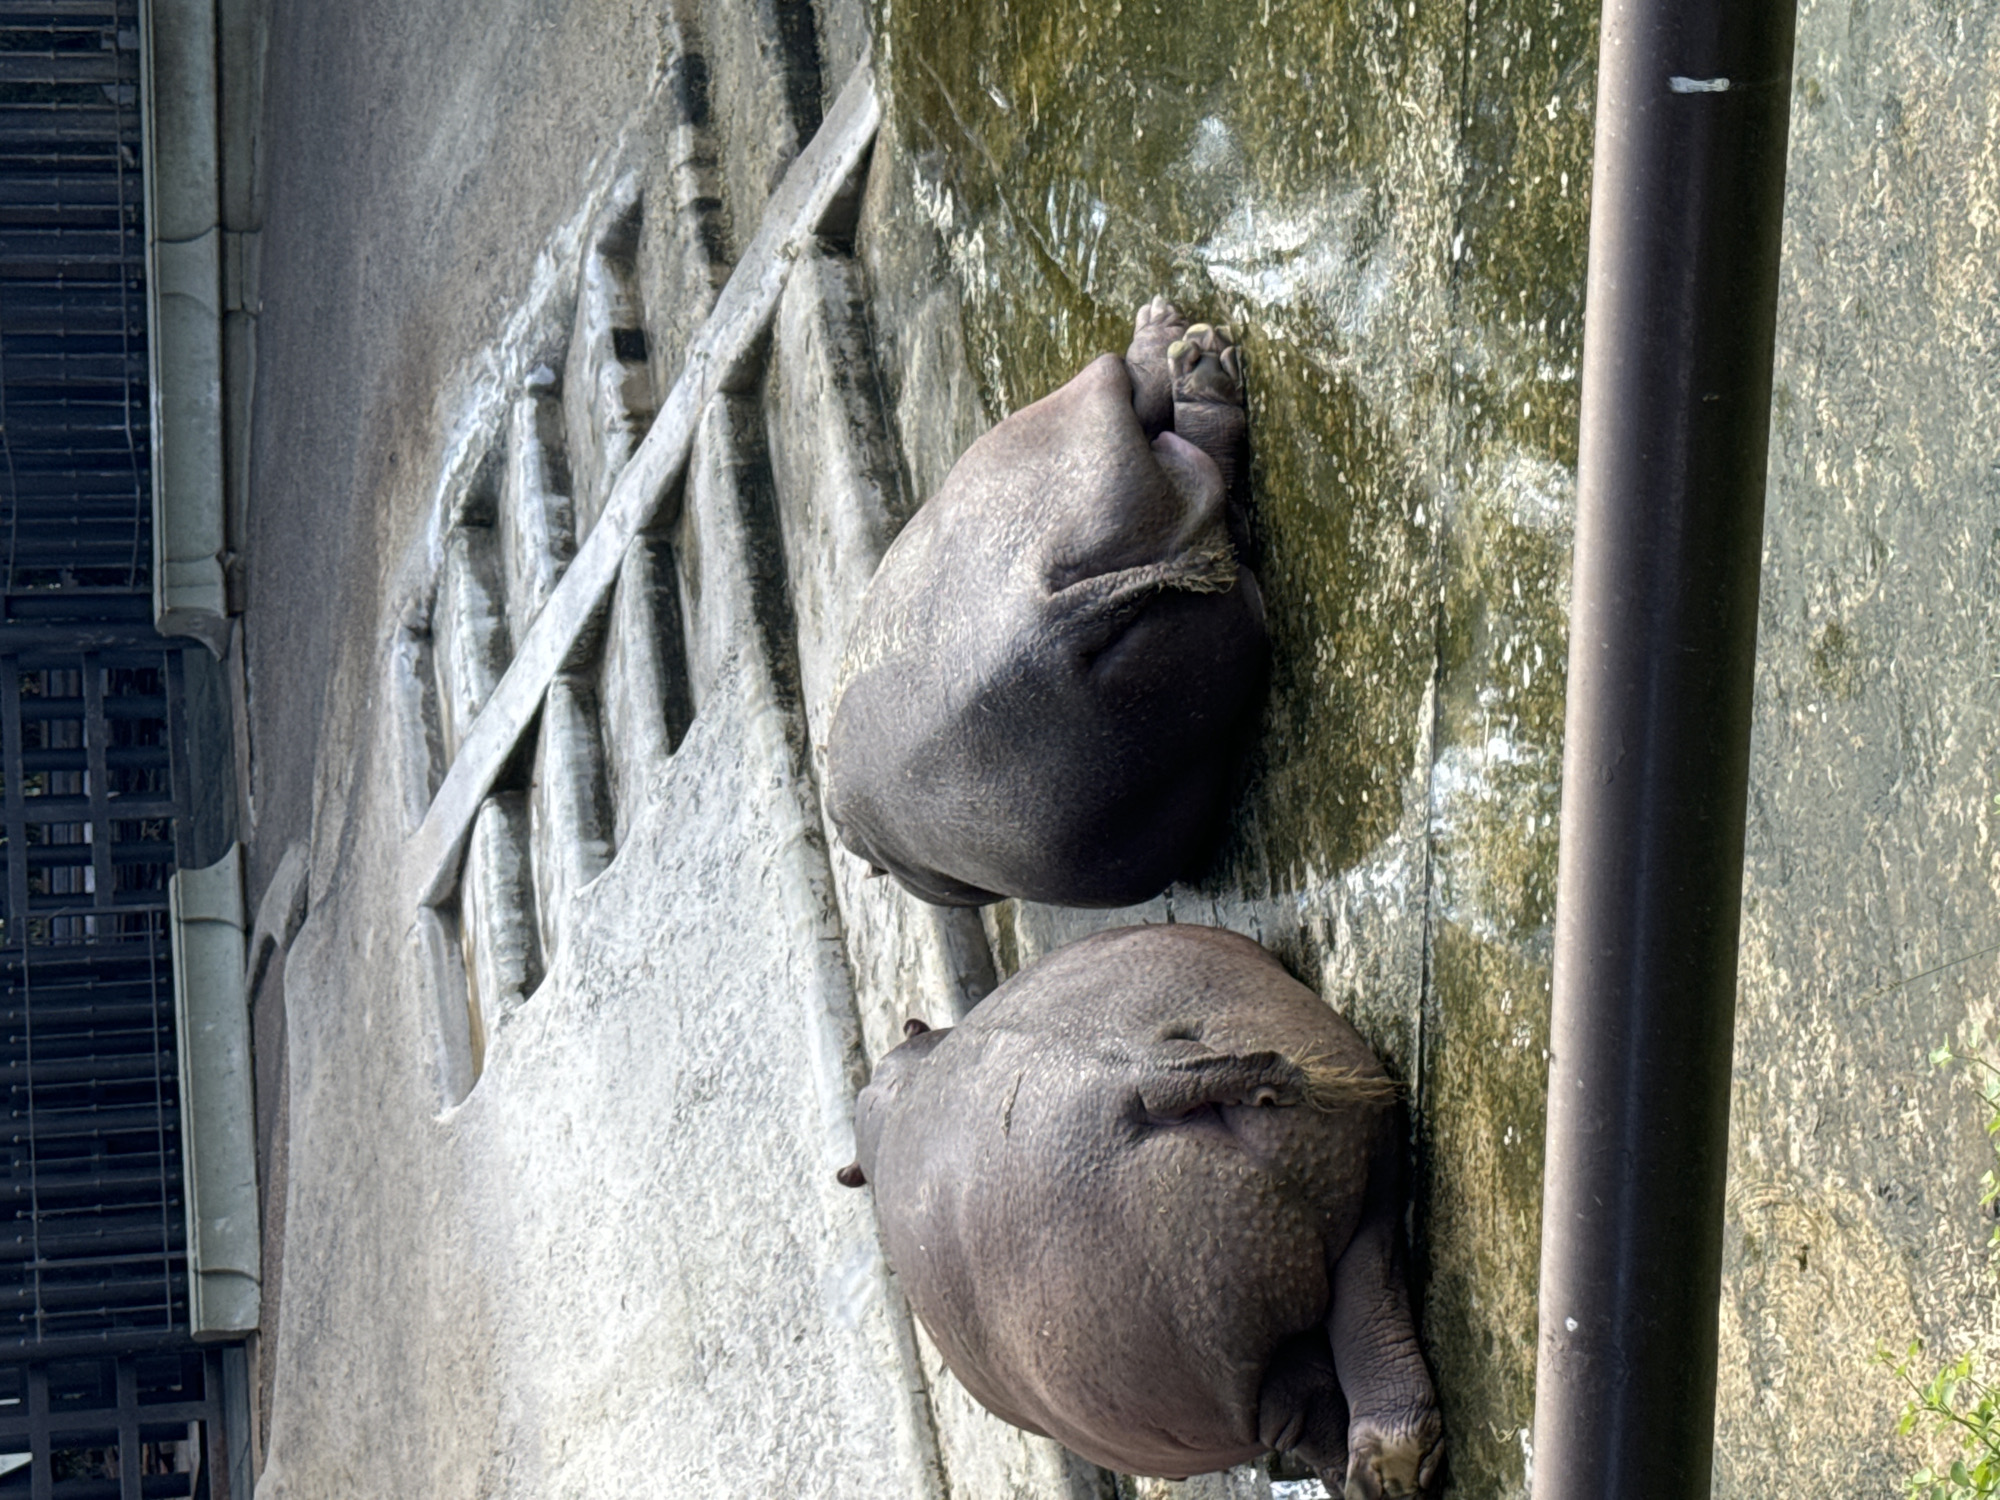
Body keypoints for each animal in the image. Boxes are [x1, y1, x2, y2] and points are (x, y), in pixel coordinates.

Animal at [825, 298, 1267, 908]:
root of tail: (1047, 623)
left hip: (1042, 430)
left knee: (1133, 386)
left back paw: (1177, 342)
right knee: (1213, 482)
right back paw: (1198, 362)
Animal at [836, 924, 1442, 1497]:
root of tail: (1144, 1076)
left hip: (1230, 1336)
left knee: (1318, 1406)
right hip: (1356, 1163)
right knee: (1373, 1305)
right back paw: (1394, 1470)